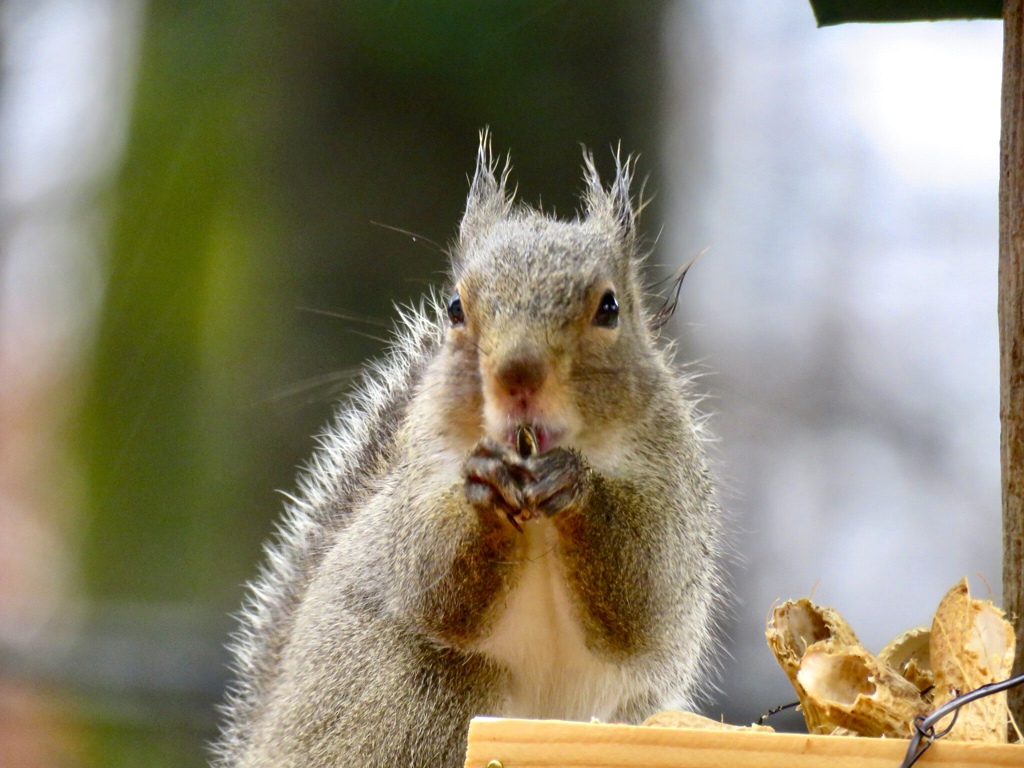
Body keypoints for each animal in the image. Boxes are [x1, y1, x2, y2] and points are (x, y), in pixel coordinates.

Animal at [214, 134, 729, 768]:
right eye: (455, 309)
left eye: (609, 308)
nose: (517, 376)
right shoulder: (416, 483)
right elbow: (432, 576)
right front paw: (483, 487)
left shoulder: (671, 487)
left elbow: (642, 594)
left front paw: (575, 483)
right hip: (419, 698)